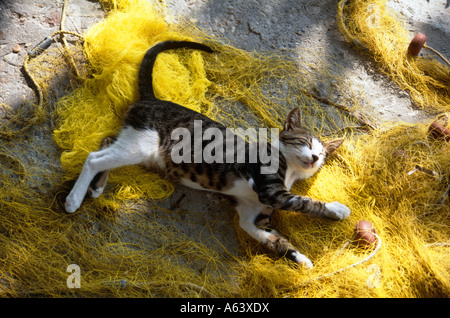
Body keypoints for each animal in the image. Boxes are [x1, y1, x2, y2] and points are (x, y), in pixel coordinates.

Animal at [64, 39, 352, 268]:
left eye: (322, 155)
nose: (314, 158)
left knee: (106, 142)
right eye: (304, 142)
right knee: (93, 158)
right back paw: (74, 199)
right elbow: (305, 202)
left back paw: (97, 187)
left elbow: (275, 239)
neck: (291, 171)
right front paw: (337, 208)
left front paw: (300, 259)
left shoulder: (252, 216)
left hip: (134, 142)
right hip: (141, 144)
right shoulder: (270, 190)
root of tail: (152, 99)